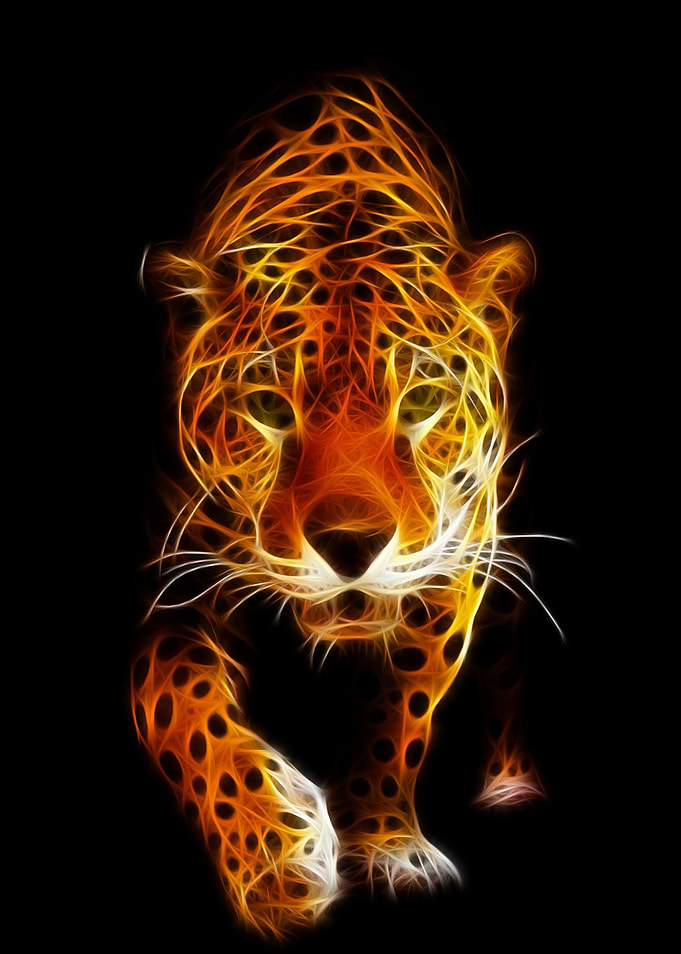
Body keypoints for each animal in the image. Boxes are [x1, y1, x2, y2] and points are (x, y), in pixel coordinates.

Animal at [131, 73, 550, 940]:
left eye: (420, 399)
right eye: (266, 403)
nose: (350, 545)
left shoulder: (453, 563)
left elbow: (398, 713)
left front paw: (385, 844)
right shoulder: (172, 581)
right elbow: (182, 709)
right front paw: (271, 857)